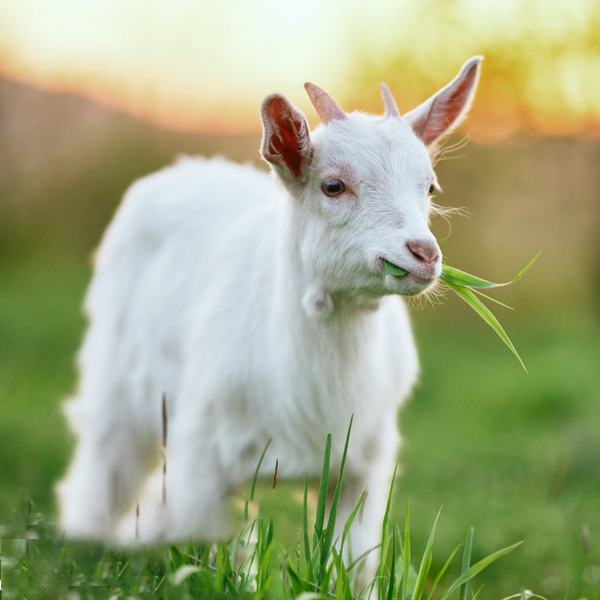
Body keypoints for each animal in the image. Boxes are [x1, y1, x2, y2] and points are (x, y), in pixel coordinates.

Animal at [57, 56, 482, 568]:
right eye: (333, 185)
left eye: (431, 186)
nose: (424, 253)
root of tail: (185, 167)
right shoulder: (204, 460)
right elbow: (212, 547)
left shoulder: (362, 464)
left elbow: (353, 564)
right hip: (116, 371)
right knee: (107, 452)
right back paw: (86, 537)